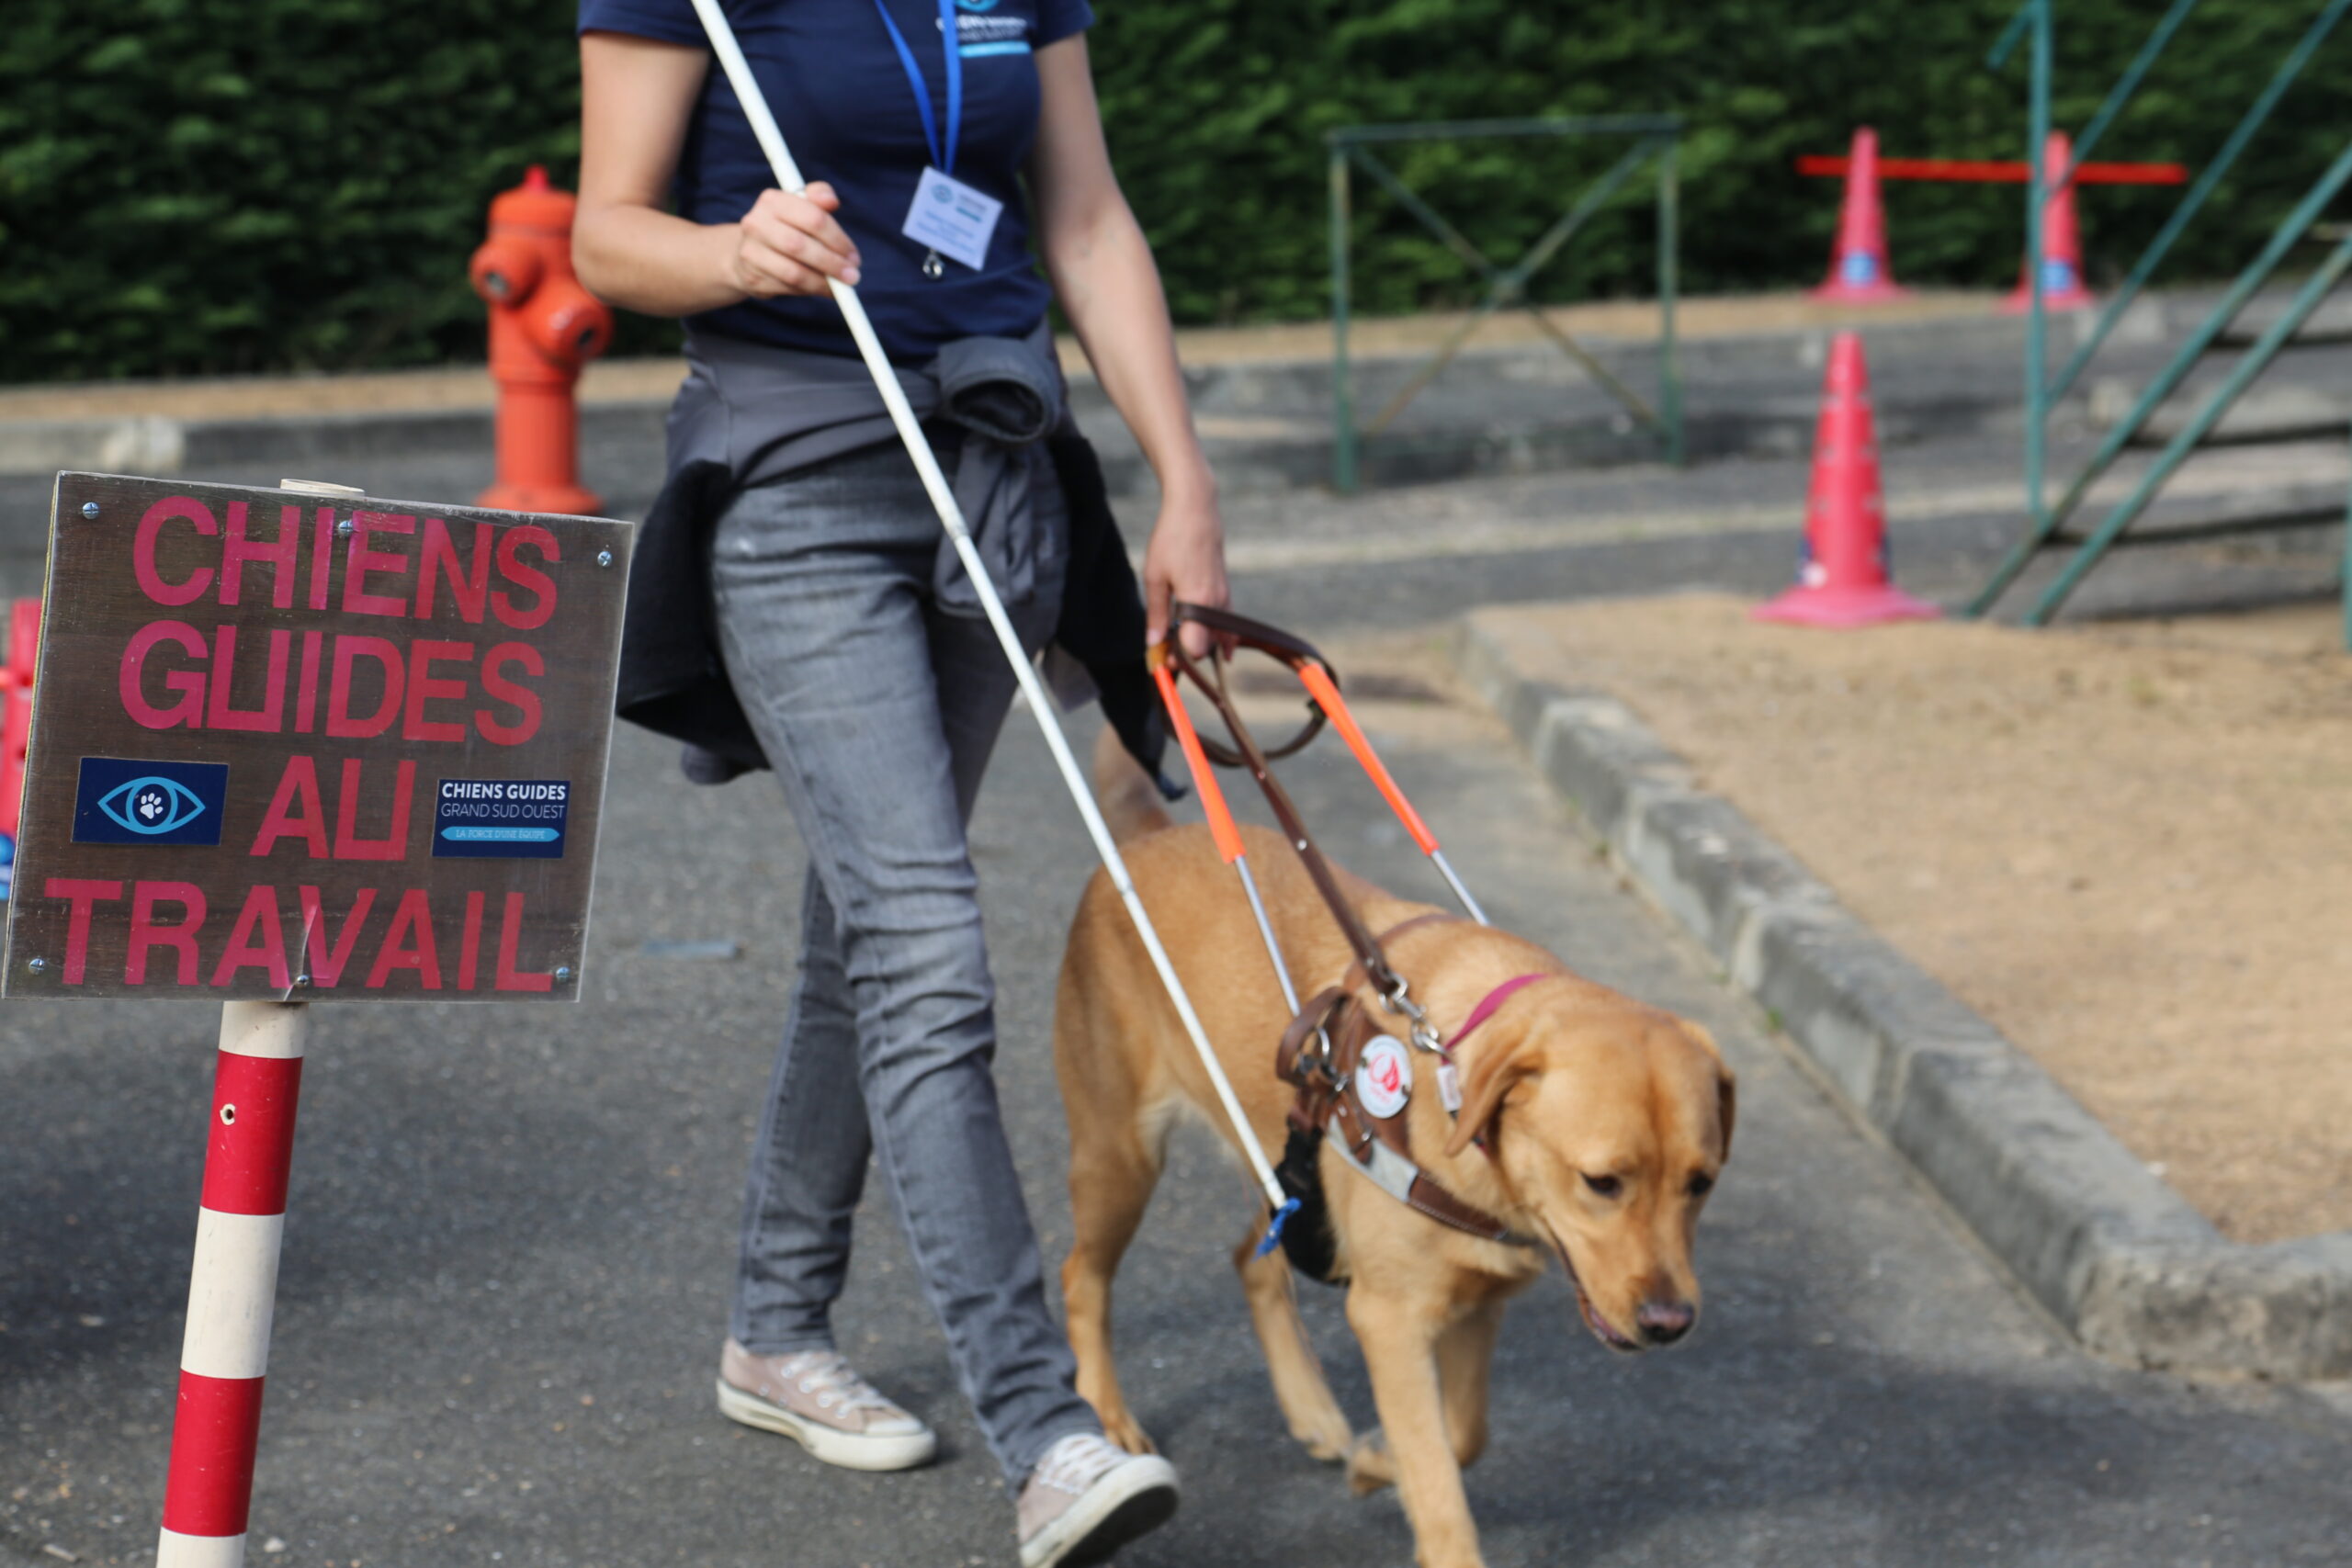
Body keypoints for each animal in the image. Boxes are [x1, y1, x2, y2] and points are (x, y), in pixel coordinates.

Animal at [1058, 738, 1740, 1568]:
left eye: (1701, 1183)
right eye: (1602, 1181)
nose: (1671, 1322)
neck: (1448, 1075)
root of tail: (1148, 841)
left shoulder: (1477, 1307)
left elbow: (1462, 1435)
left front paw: (1377, 1463)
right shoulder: (1389, 1319)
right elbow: (1441, 1477)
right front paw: (1415, 1493)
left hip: (1292, 1175)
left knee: (1251, 1258)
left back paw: (1314, 1411)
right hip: (1121, 1158)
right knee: (1082, 1277)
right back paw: (1106, 1414)